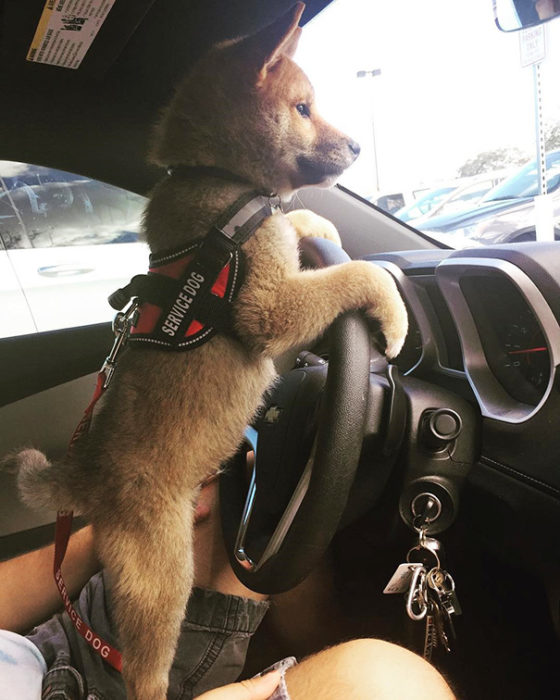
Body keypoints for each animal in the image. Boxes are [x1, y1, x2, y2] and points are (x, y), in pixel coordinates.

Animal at [12, 4, 406, 696]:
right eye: (304, 108)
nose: (358, 145)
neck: (217, 179)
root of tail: (90, 478)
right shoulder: (268, 308)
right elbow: (356, 275)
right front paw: (395, 305)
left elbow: (298, 228)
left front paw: (320, 224)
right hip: (163, 586)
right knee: (145, 672)